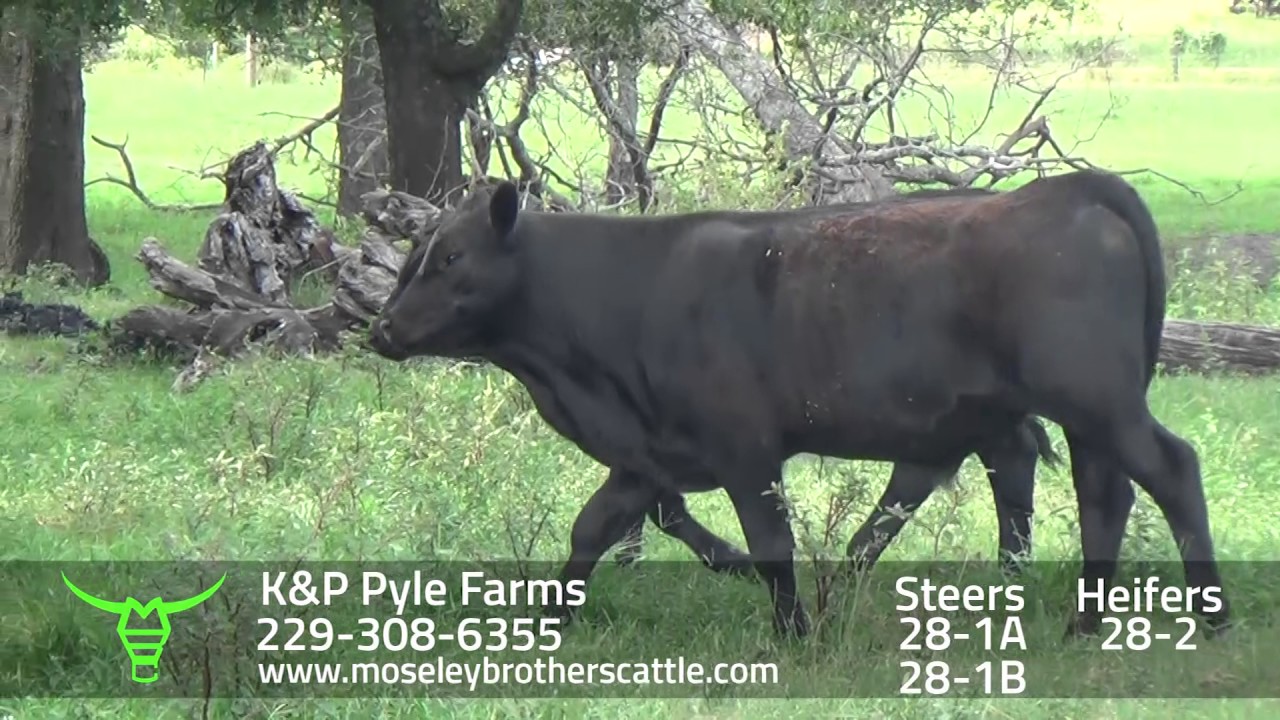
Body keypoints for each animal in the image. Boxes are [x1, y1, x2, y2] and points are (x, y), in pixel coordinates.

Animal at [369, 169, 1229, 640]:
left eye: (450, 256)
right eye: (413, 256)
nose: (382, 328)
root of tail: (1068, 188)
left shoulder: (745, 449)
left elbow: (770, 541)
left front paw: (791, 633)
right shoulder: (647, 452)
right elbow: (594, 528)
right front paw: (550, 623)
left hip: (1095, 399)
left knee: (1169, 471)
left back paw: (1210, 615)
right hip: (1061, 414)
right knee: (1086, 492)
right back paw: (1072, 619)